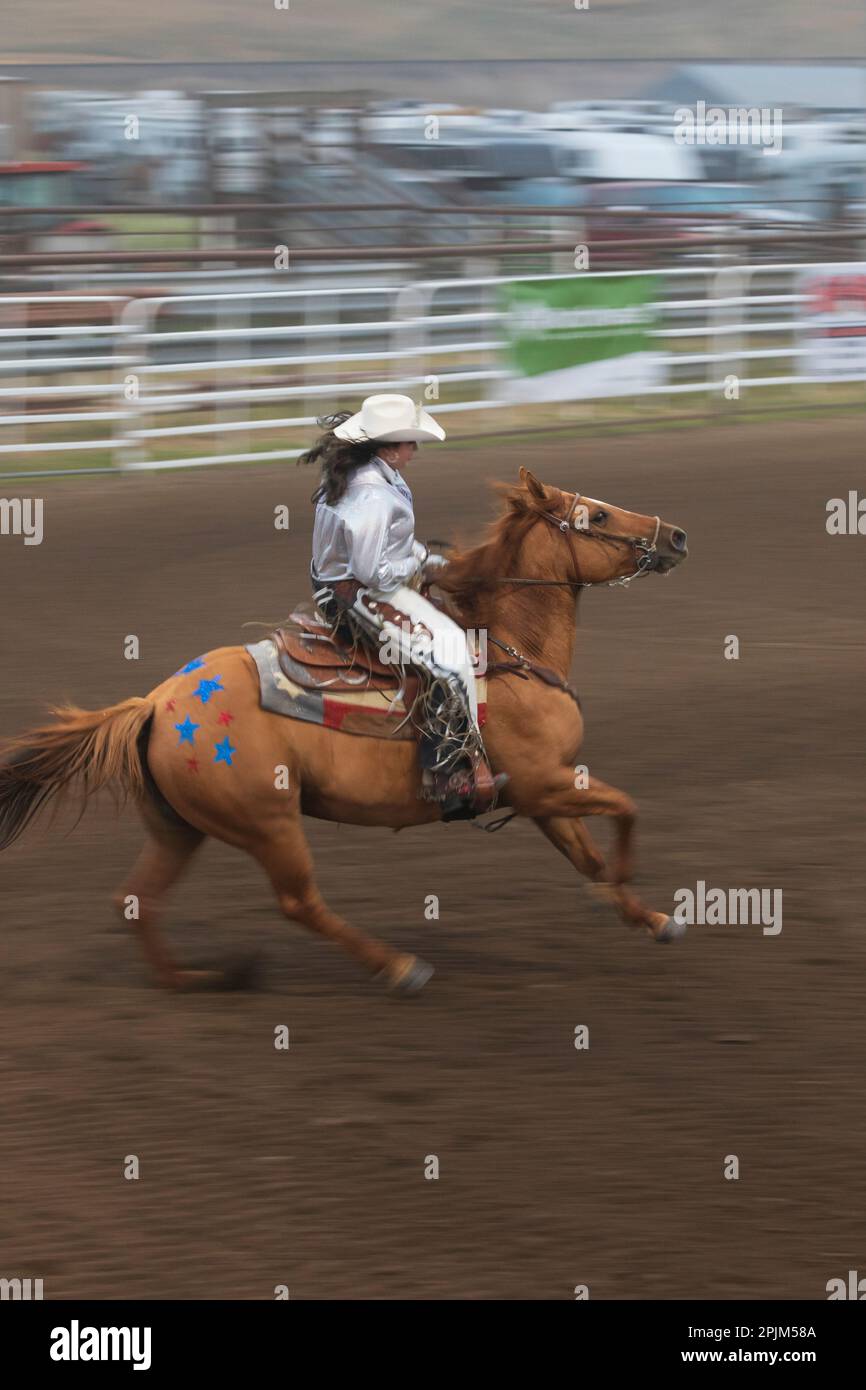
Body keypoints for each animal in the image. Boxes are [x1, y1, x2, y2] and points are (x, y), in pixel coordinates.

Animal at [0, 472, 692, 995]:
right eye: (597, 515)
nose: (677, 535)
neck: (509, 654)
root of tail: (154, 704)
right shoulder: (542, 784)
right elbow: (627, 809)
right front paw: (631, 890)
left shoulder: (540, 795)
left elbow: (590, 853)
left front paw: (648, 915)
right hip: (268, 822)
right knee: (299, 902)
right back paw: (399, 967)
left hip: (179, 827)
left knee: (136, 902)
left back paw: (200, 979)